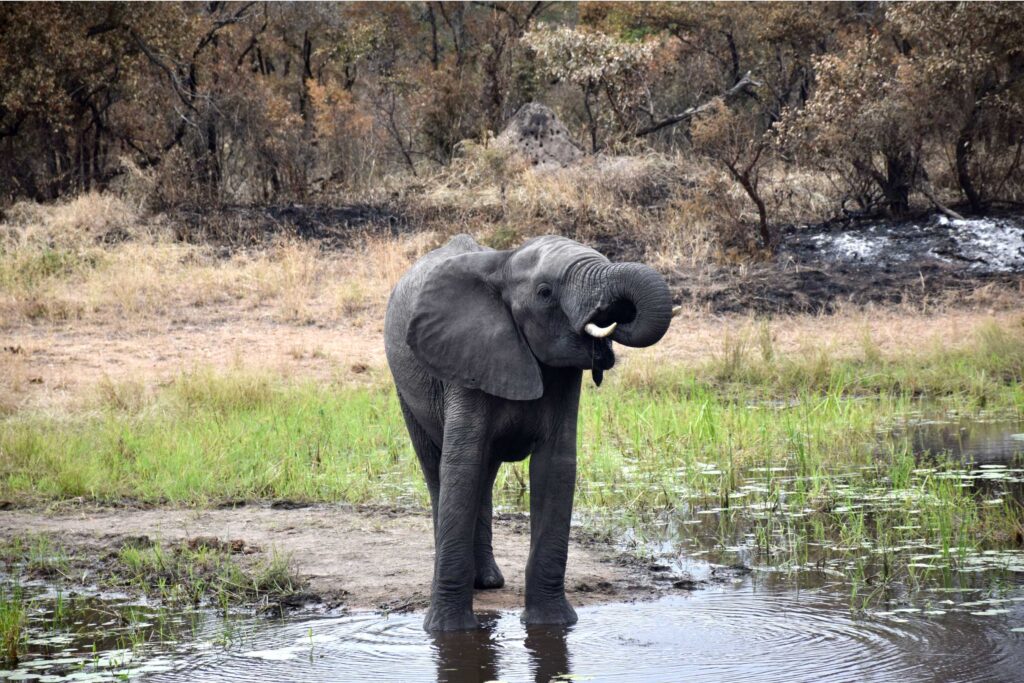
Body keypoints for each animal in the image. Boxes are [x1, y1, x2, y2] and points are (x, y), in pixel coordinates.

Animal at [385, 233, 671, 630]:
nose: (614, 313)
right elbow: (461, 466)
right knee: (436, 468)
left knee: (483, 476)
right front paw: (446, 632)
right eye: (545, 292)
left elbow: (555, 468)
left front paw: (552, 625)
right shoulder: (465, 358)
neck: (503, 264)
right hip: (406, 387)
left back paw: (488, 581)